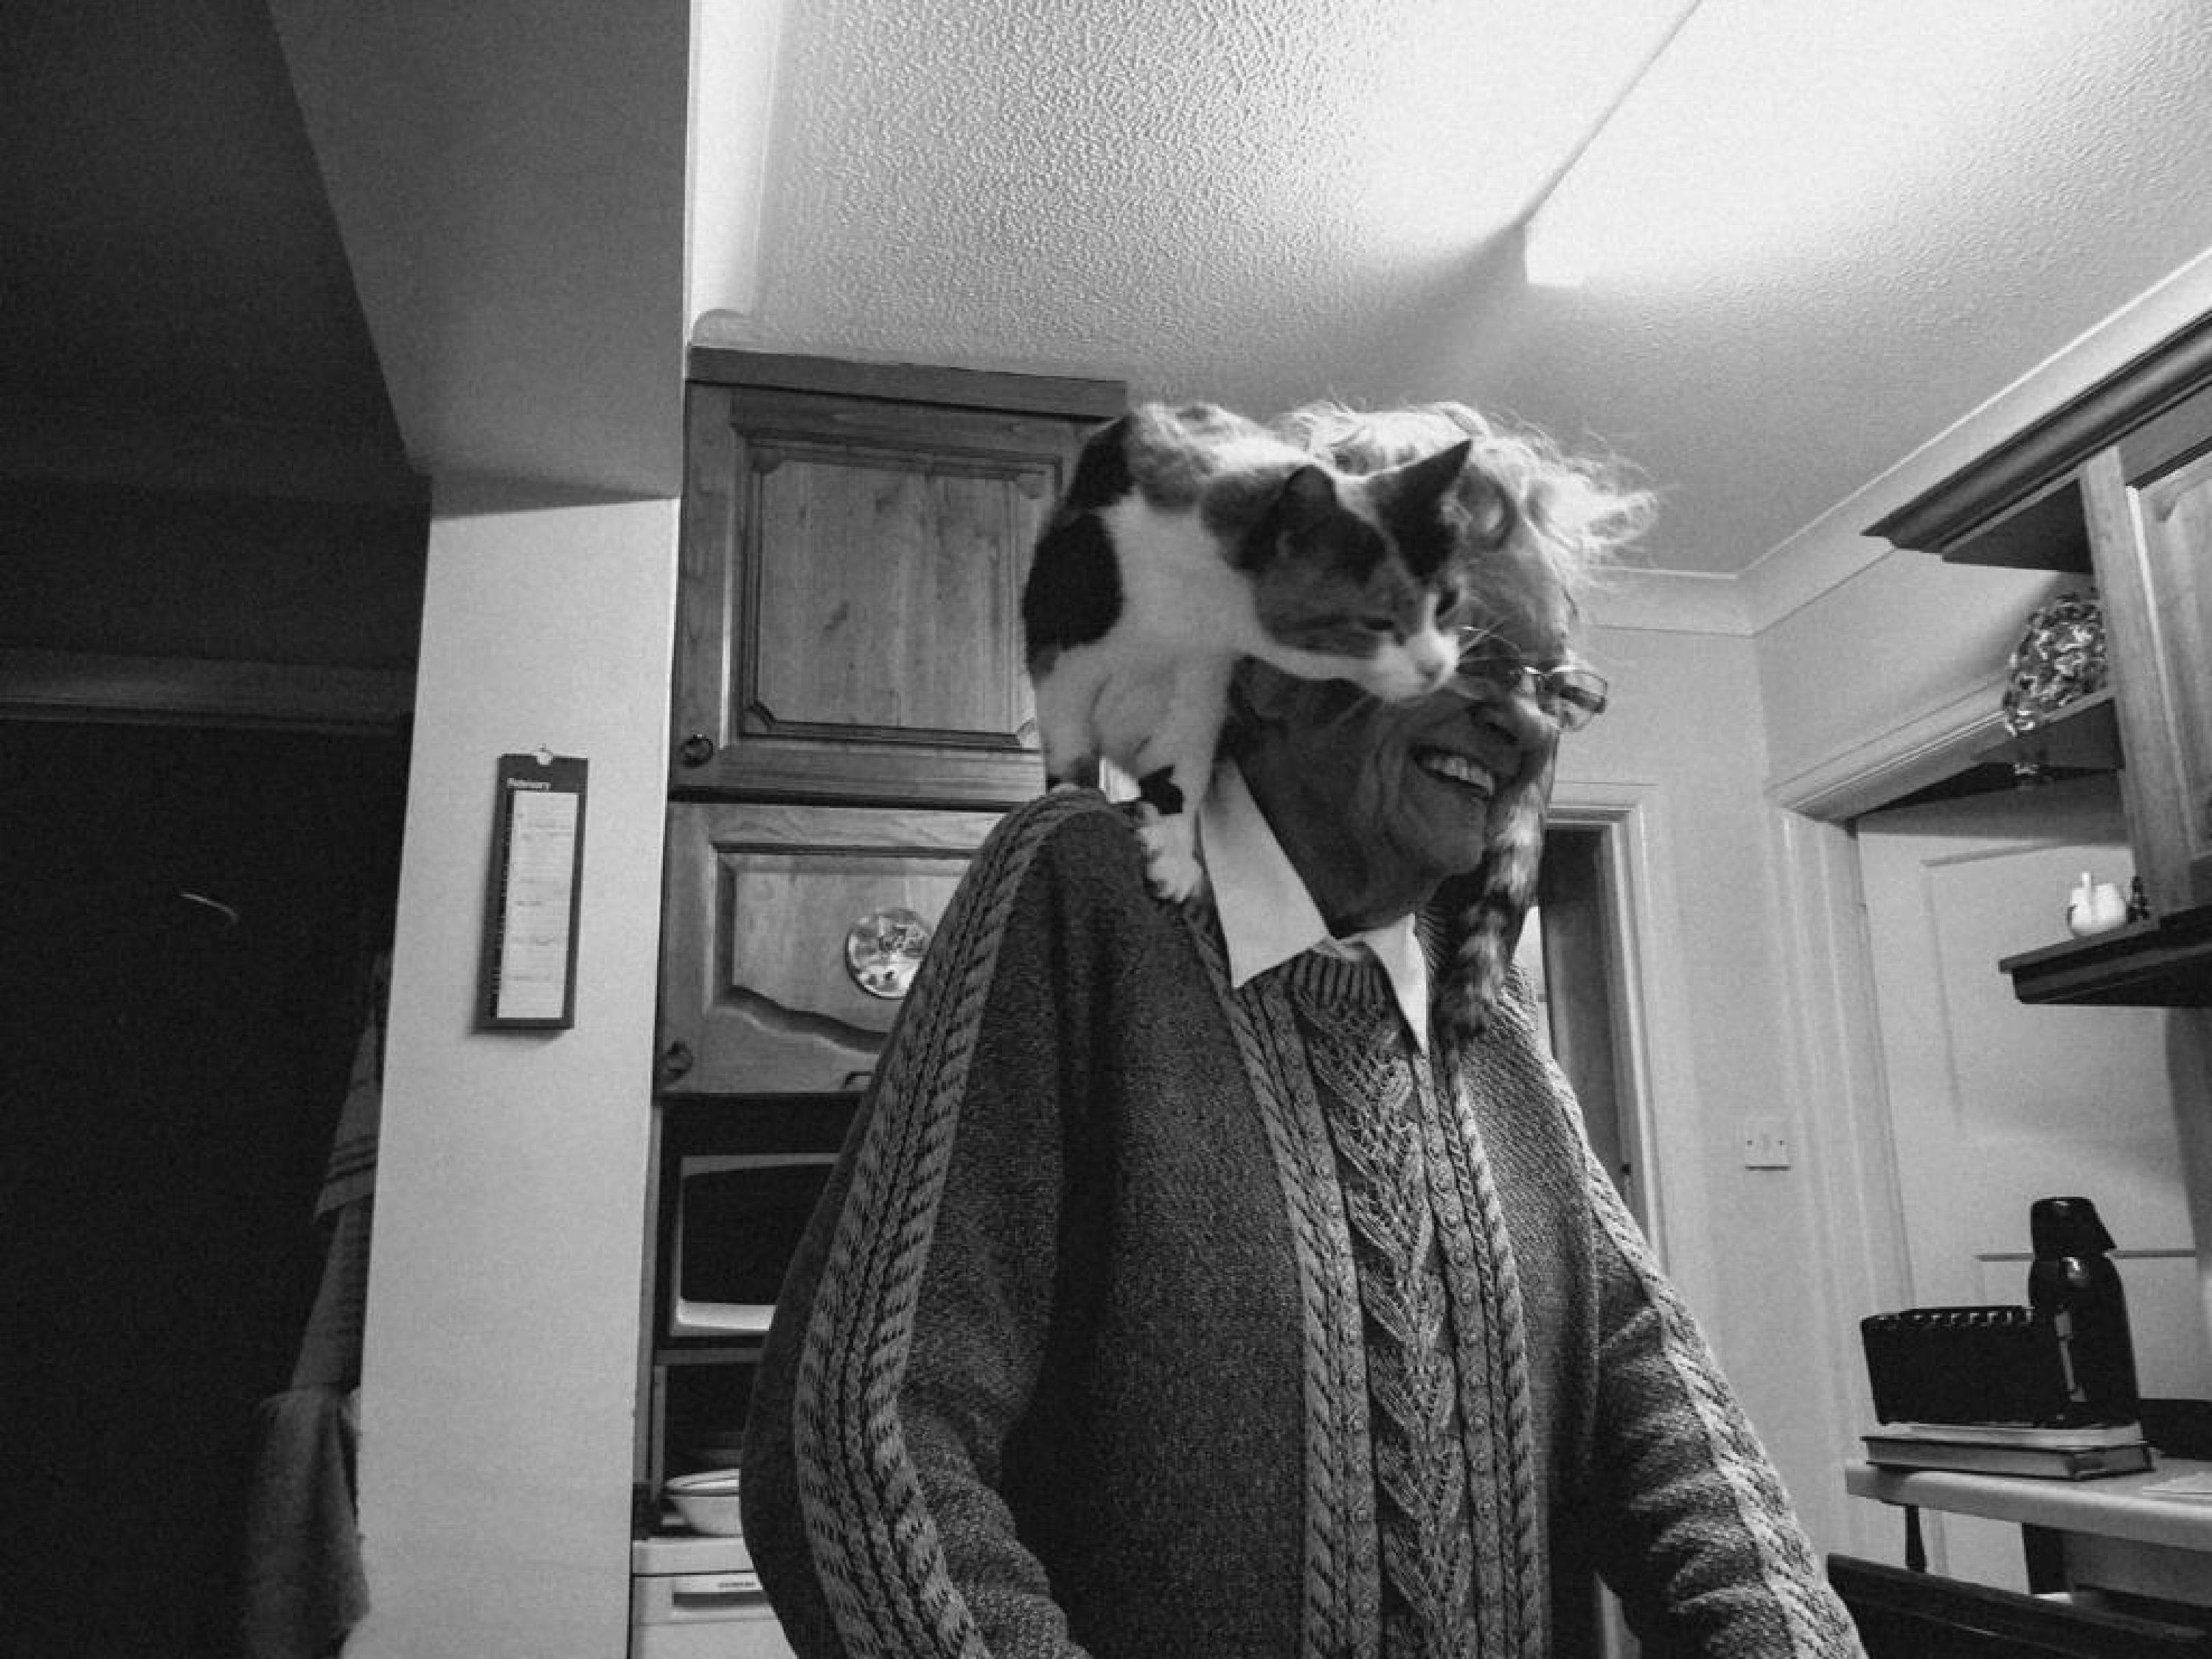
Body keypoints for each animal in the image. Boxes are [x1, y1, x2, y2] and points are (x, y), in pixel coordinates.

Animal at [1020, 400, 1518, 904]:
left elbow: (1180, 767)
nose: (1436, 668)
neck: (1192, 601)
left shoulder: (1198, 683)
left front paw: (1172, 853)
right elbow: (1070, 747)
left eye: (1448, 603)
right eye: (1377, 622)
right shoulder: (1062, 658)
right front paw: (1068, 798)